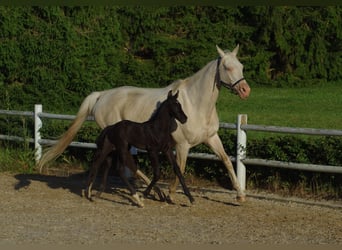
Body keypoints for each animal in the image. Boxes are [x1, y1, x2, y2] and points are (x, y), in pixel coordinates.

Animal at [38, 44, 251, 201]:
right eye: (227, 67)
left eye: (241, 66)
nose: (245, 90)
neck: (195, 103)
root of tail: (102, 95)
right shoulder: (182, 145)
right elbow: (180, 168)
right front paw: (172, 193)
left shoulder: (211, 138)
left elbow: (226, 160)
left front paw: (240, 195)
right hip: (120, 141)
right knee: (129, 165)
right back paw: (152, 193)